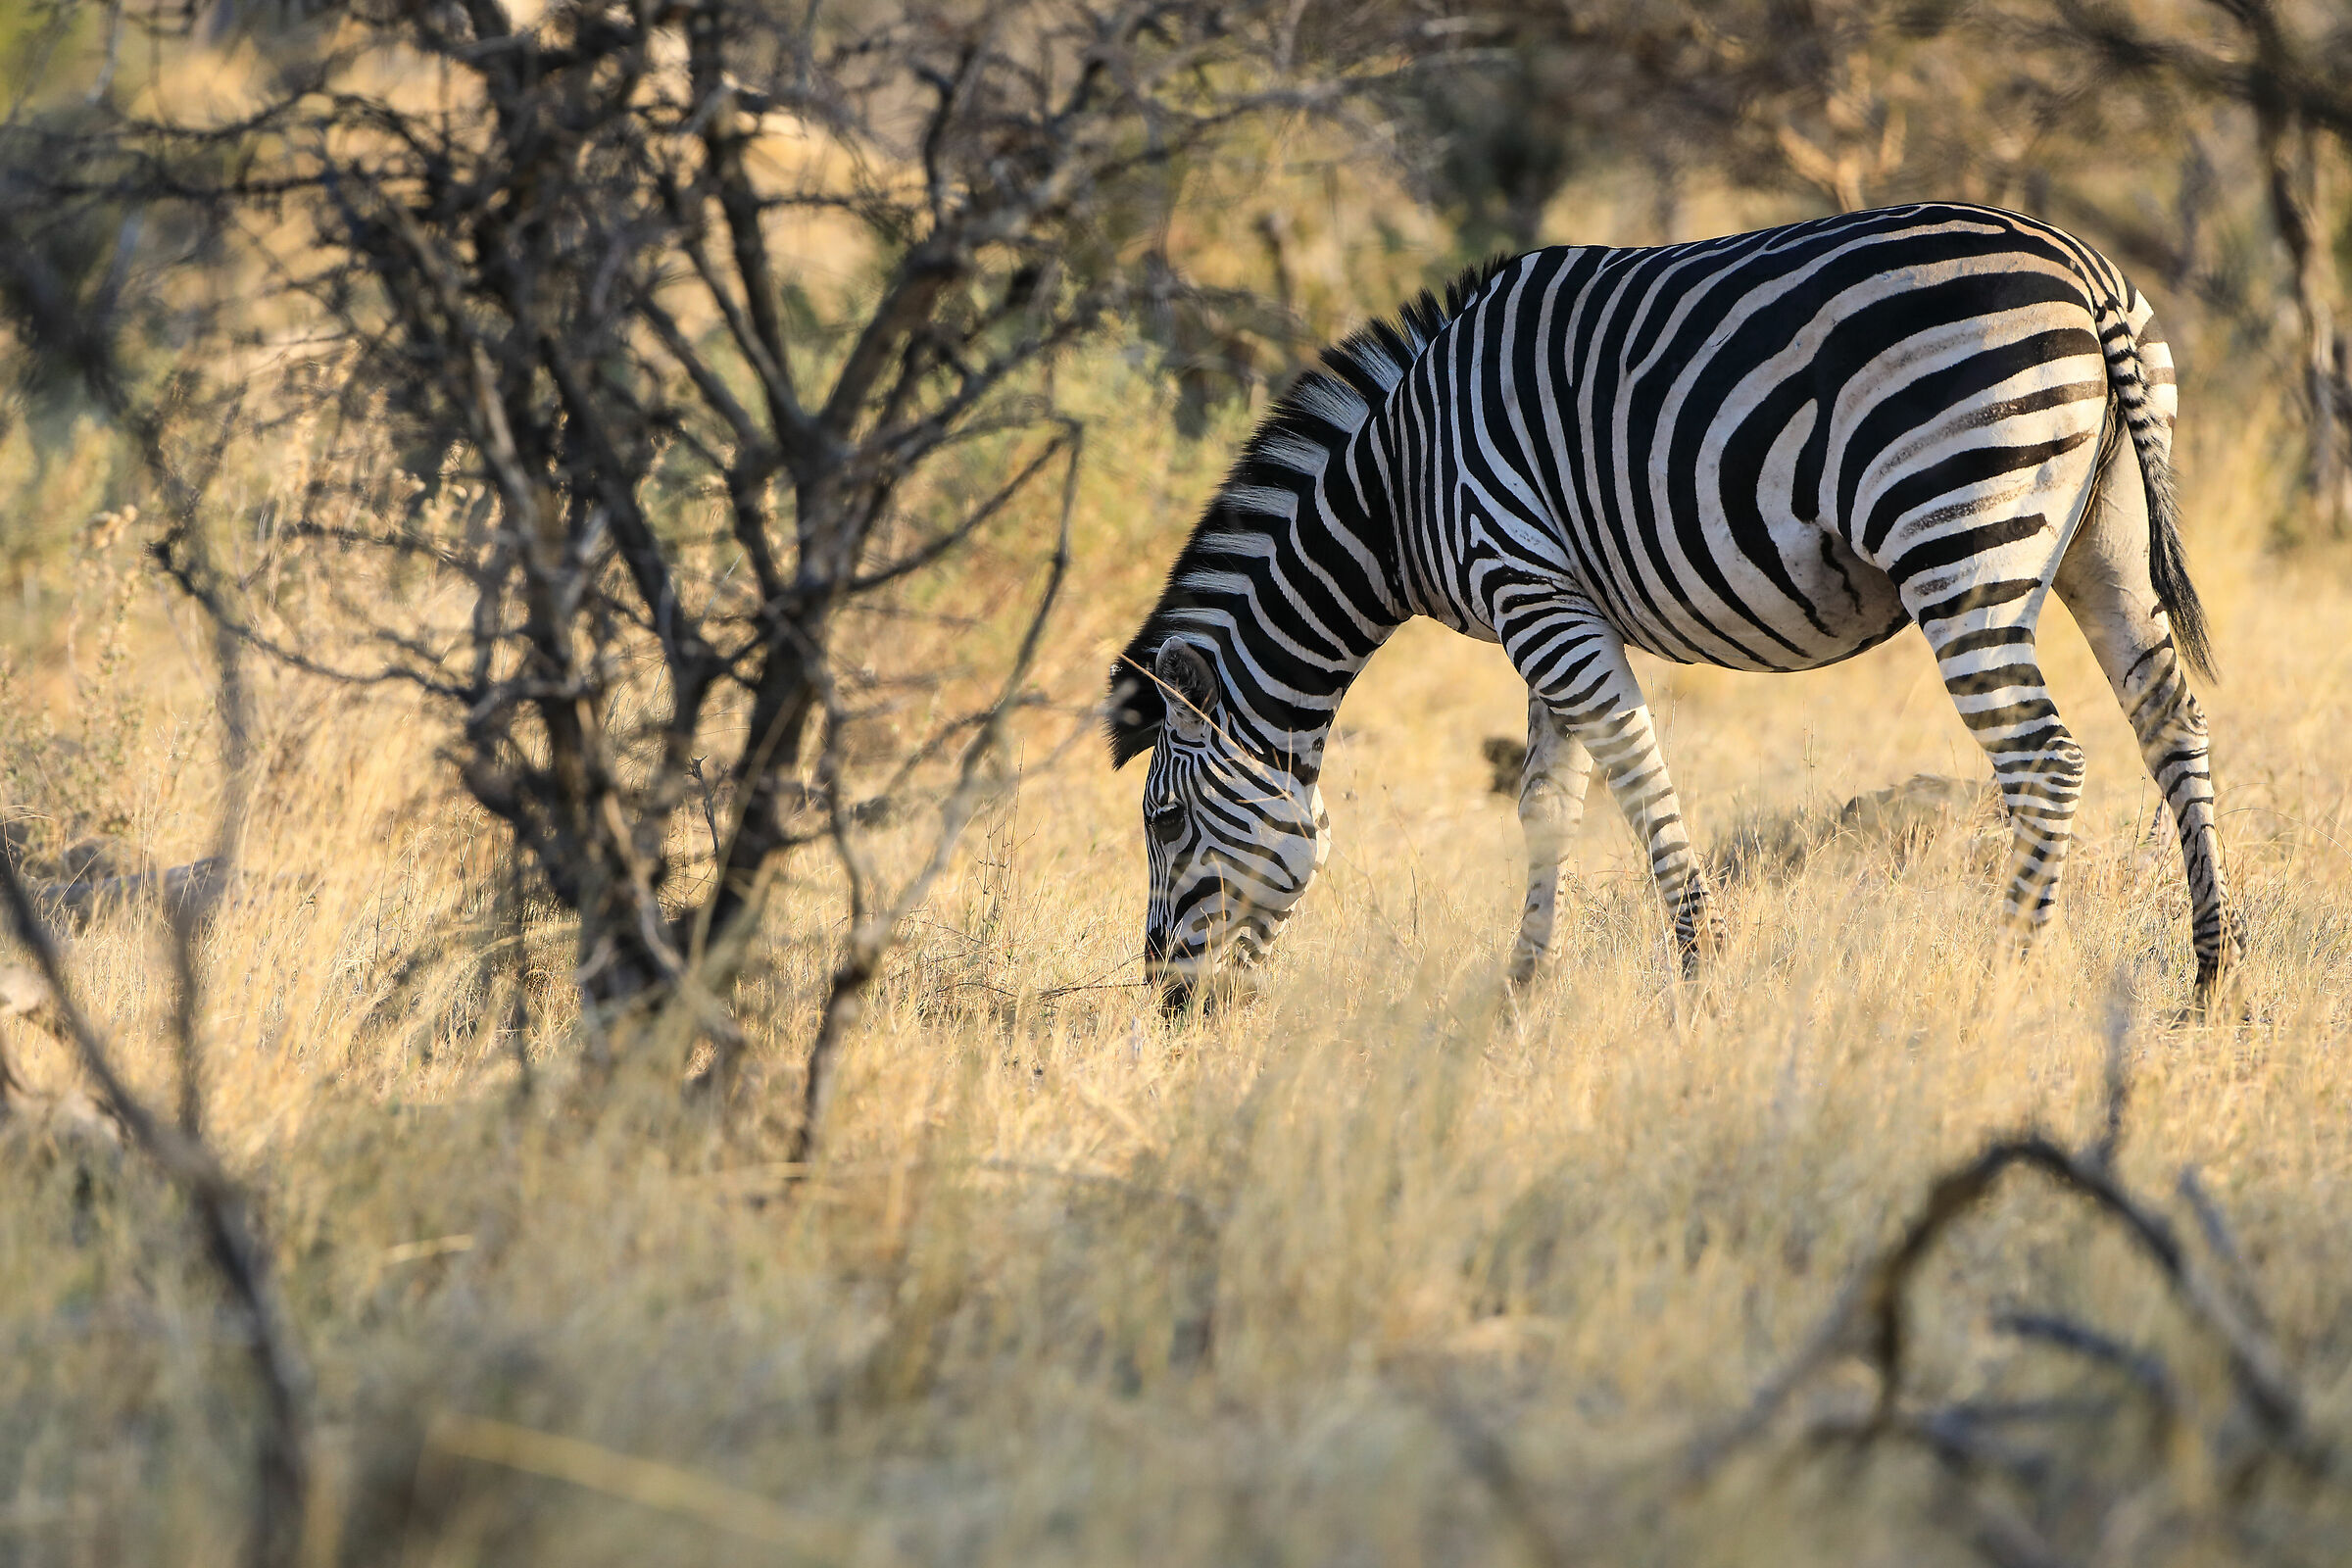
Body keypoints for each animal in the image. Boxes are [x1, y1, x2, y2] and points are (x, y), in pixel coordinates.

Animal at [1107, 203, 2243, 1013]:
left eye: (1162, 821)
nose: (1166, 1004)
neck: (1395, 488)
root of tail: (2086, 274)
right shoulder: (1552, 601)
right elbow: (1547, 804)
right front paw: (1518, 994)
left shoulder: (1529, 585)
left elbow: (1632, 771)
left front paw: (1700, 973)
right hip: (2104, 542)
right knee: (2170, 721)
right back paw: (2214, 976)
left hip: (1957, 538)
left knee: (2045, 759)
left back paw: (1996, 976)